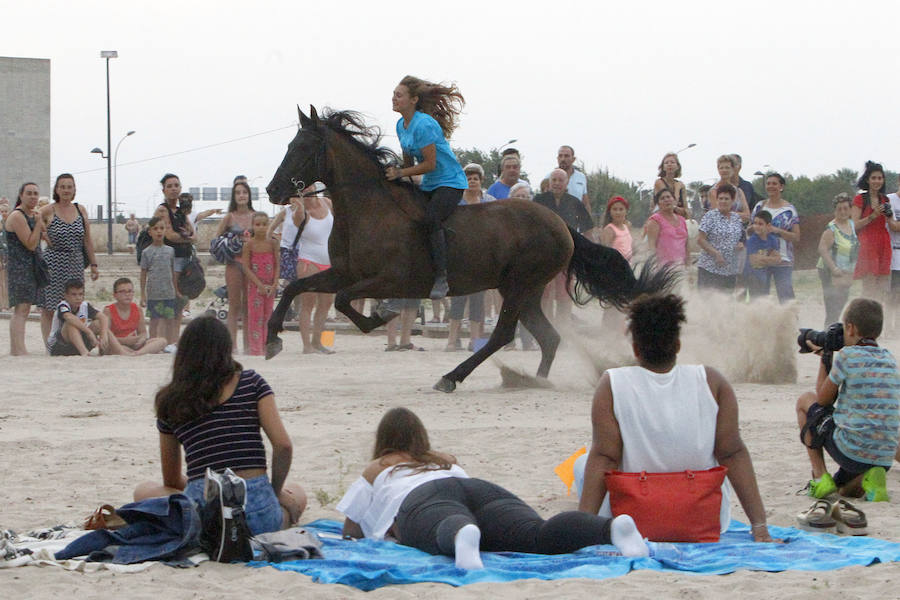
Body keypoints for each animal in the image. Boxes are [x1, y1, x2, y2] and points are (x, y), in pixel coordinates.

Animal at [264, 105, 672, 392]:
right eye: (289, 145)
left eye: (303, 147)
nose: (271, 190)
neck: (369, 210)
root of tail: (561, 224)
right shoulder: (343, 272)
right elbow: (298, 288)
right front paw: (271, 341)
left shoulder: (388, 279)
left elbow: (345, 301)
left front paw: (380, 316)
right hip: (524, 289)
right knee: (548, 336)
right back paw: (536, 381)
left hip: (520, 285)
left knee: (504, 335)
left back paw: (452, 377)